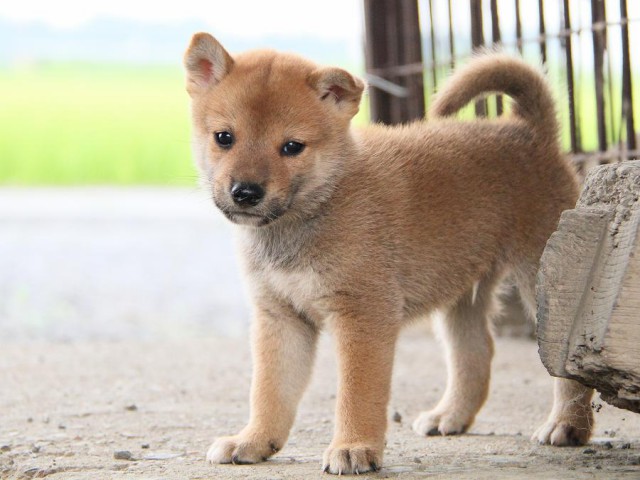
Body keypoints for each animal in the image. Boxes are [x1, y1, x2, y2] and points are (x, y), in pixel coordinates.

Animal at [182, 31, 592, 474]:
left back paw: (567, 425)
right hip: (462, 293)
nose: (245, 192)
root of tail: (530, 131)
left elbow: (358, 393)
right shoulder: (281, 316)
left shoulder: (364, 313)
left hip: (542, 281)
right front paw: (254, 441)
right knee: (476, 354)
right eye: (224, 137)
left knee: (564, 364)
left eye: (292, 147)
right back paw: (450, 416)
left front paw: (353, 447)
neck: (318, 206)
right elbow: (270, 390)